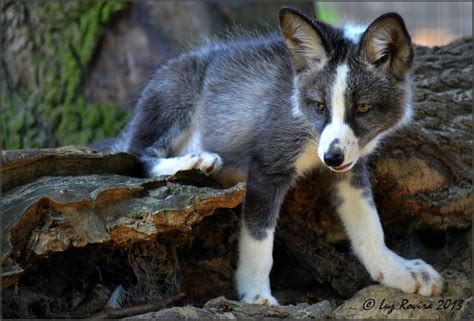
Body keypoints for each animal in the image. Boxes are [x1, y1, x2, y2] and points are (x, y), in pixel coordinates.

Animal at [109, 6, 442, 302]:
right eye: (319, 105)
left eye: (362, 108)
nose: (331, 158)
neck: (304, 123)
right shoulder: (266, 166)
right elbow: (259, 239)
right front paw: (256, 295)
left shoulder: (350, 167)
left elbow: (369, 225)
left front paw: (396, 271)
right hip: (174, 100)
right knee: (137, 155)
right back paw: (195, 161)